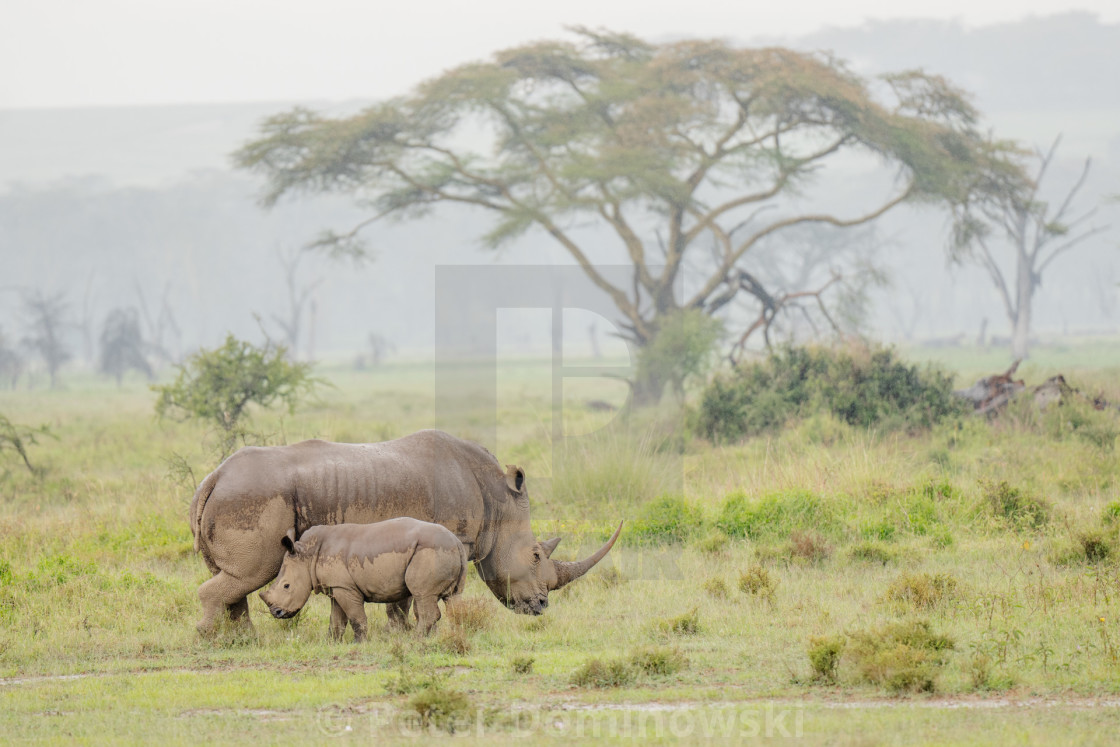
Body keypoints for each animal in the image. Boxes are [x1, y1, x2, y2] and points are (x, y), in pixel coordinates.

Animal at [258, 517, 468, 640]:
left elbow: (355, 616)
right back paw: (456, 634)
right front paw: (331, 642)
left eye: (286, 586)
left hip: (428, 552)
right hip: (446, 551)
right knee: (453, 598)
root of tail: (456, 541)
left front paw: (359, 642)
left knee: (423, 595)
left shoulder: (345, 587)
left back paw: (415, 640)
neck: (307, 555)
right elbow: (336, 619)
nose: (276, 613)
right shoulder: (337, 586)